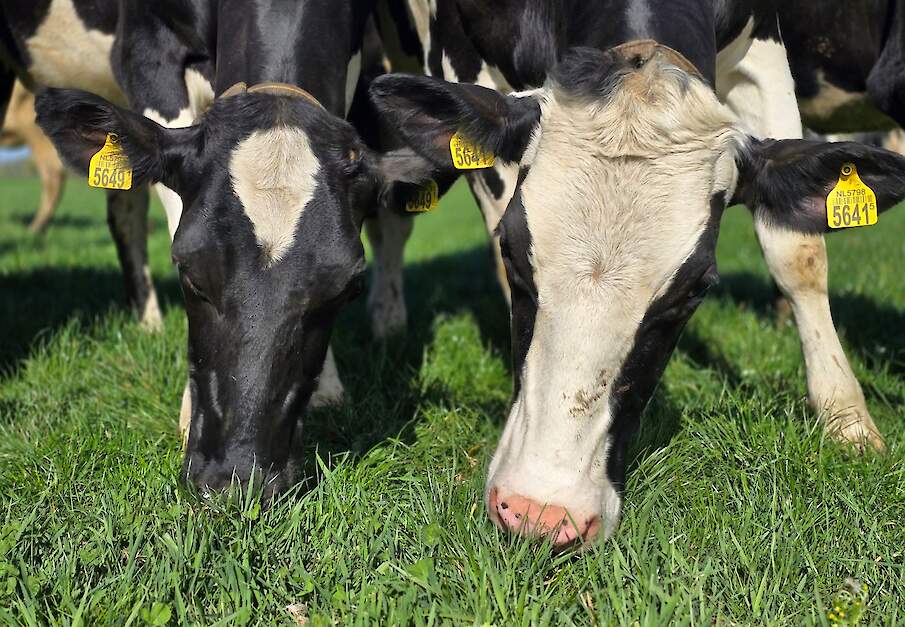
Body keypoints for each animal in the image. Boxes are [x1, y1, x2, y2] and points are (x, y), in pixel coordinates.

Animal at [1, 0, 423, 498]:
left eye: (346, 289)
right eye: (188, 272)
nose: (235, 477)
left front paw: (329, 387)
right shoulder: (148, 52)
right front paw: (187, 412)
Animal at [369, 0, 905, 546]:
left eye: (693, 291)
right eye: (512, 252)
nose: (540, 514)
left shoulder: (763, 47)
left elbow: (797, 251)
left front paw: (847, 420)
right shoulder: (458, 49)